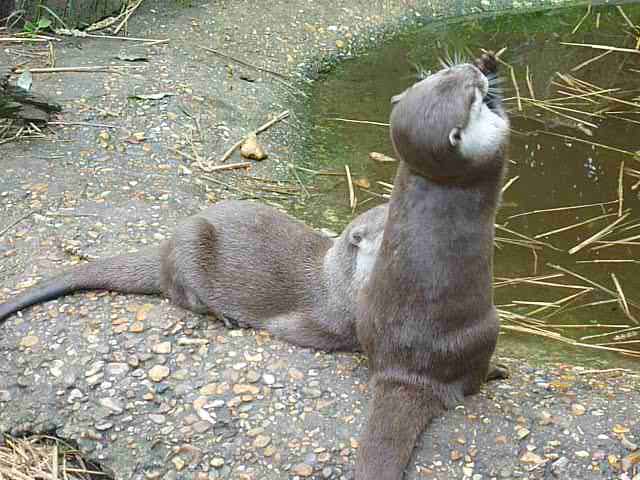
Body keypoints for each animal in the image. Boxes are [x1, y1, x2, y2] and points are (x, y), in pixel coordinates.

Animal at [0, 200, 384, 352]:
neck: (338, 284)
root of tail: (165, 248)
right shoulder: (316, 321)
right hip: (191, 244)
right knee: (180, 294)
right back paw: (224, 316)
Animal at [356, 53, 510, 480]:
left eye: (444, 74)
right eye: (469, 97)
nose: (472, 71)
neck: (437, 176)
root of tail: (407, 373)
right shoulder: (489, 150)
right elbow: (504, 125)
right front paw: (494, 74)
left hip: (364, 312)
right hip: (487, 328)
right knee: (471, 383)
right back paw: (495, 372)